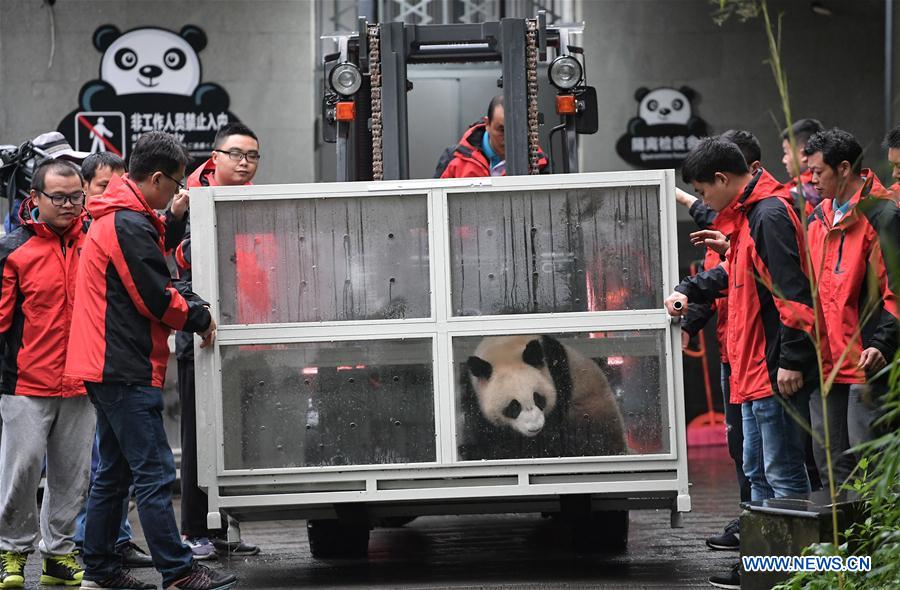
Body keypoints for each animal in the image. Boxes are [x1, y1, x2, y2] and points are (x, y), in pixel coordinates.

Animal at [461, 334, 627, 460]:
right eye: (514, 407)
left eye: (538, 398)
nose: (535, 427)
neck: (504, 350)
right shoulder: (472, 393)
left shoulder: (559, 373)